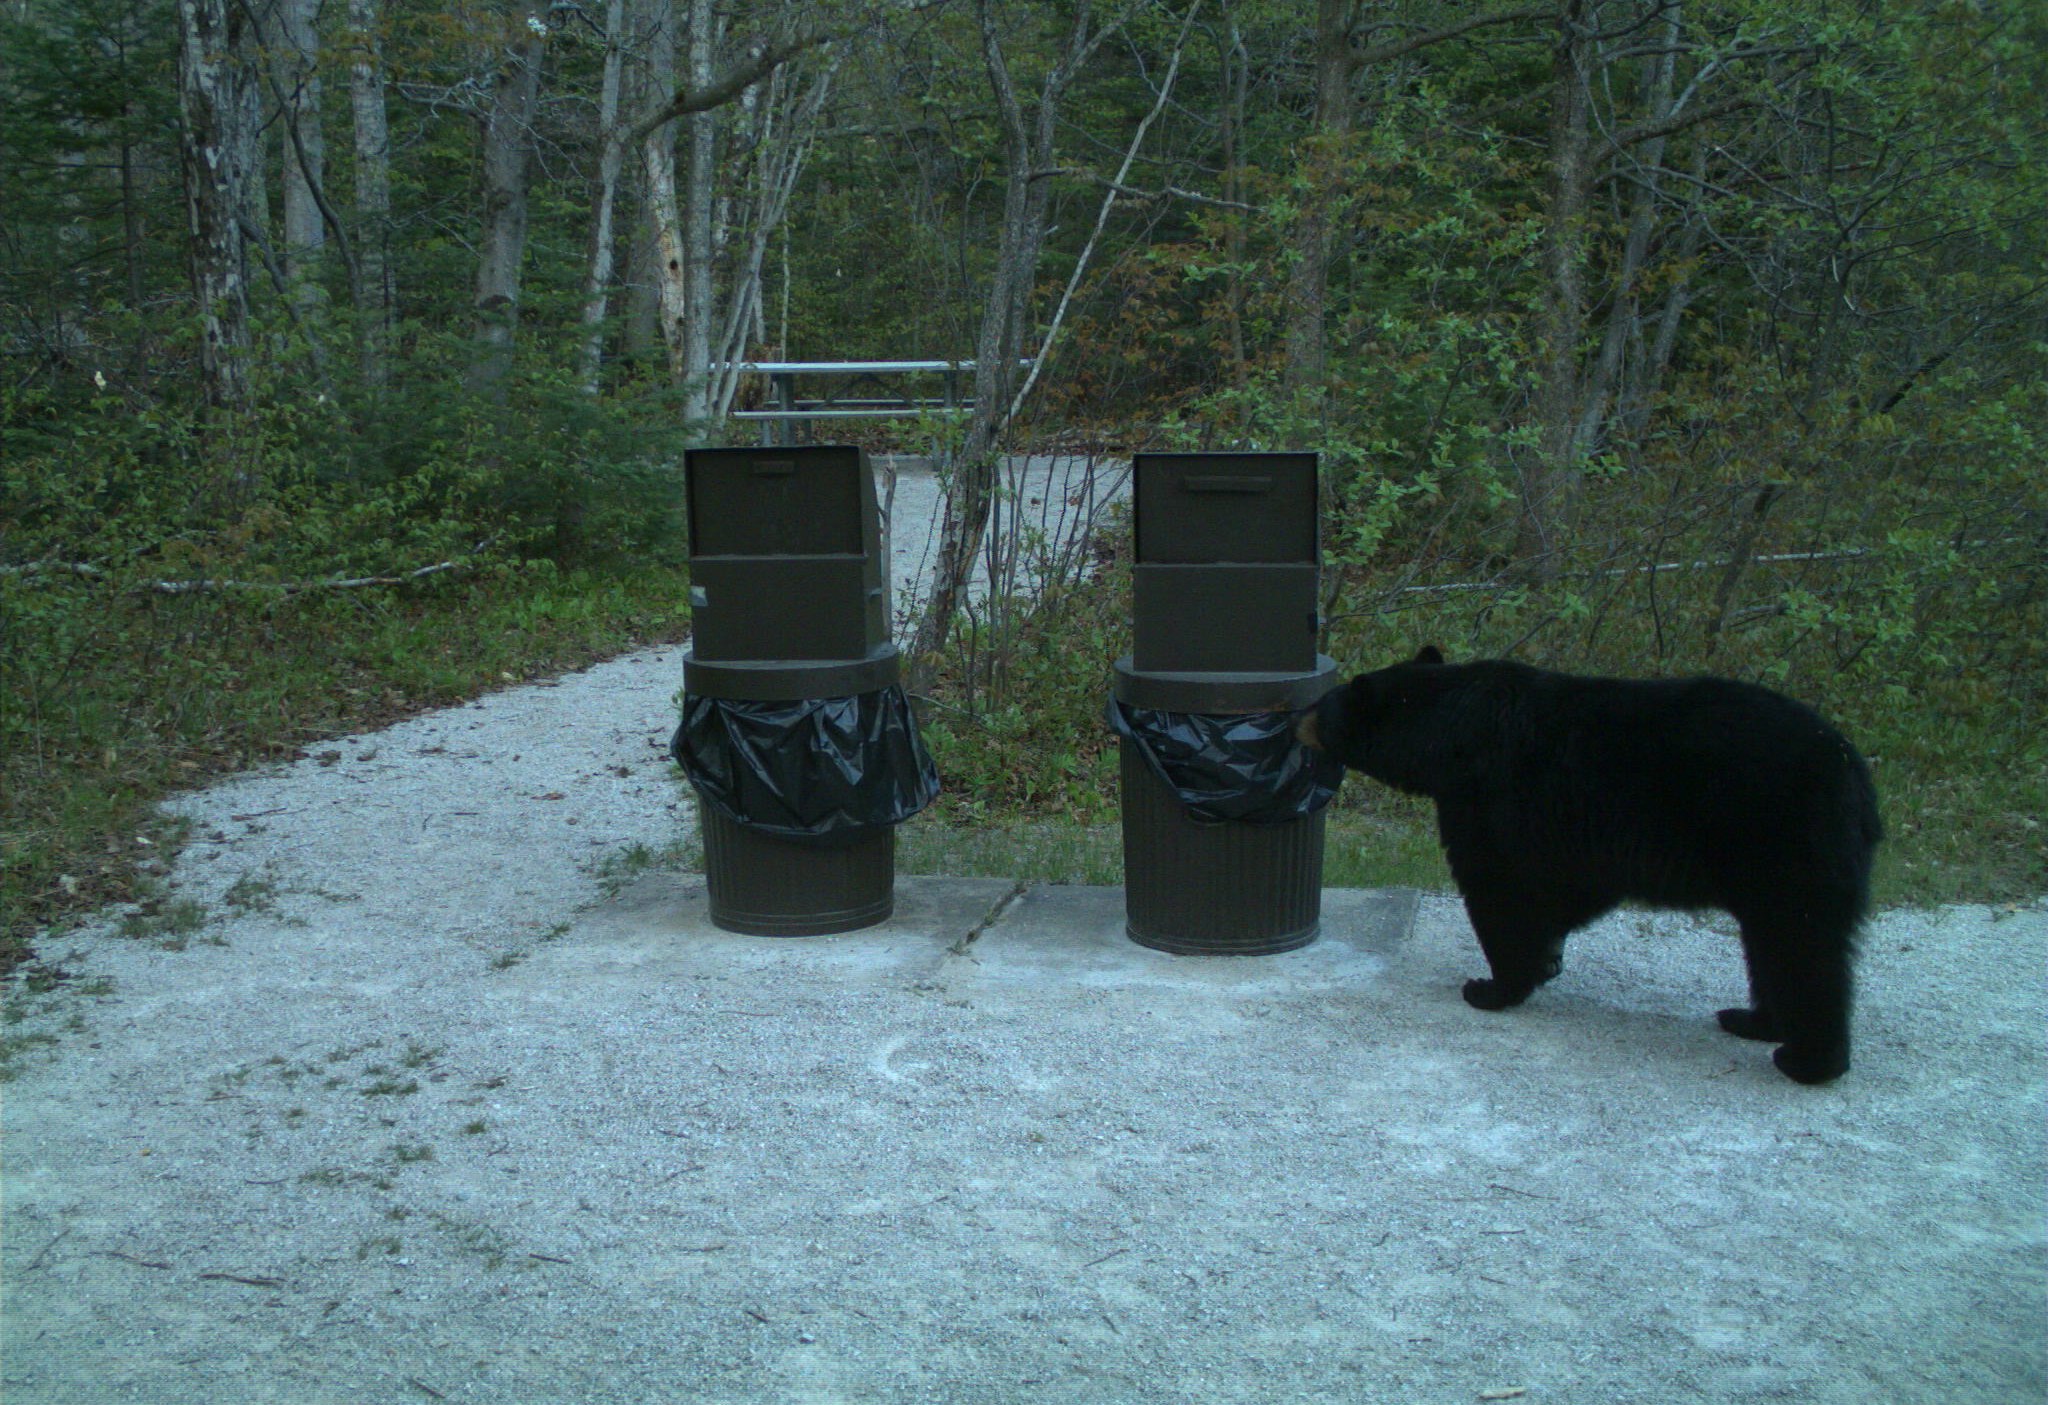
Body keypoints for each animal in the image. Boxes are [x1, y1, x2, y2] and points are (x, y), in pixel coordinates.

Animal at [1299, 645, 1882, 1084]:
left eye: (1322, 705)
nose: (1296, 717)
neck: (1447, 734)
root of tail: (1855, 774)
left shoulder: (1486, 800)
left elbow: (1497, 888)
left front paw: (1493, 986)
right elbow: (1572, 889)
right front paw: (1546, 957)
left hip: (1783, 841)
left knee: (1802, 945)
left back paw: (1807, 1059)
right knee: (1769, 946)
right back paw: (1754, 1020)